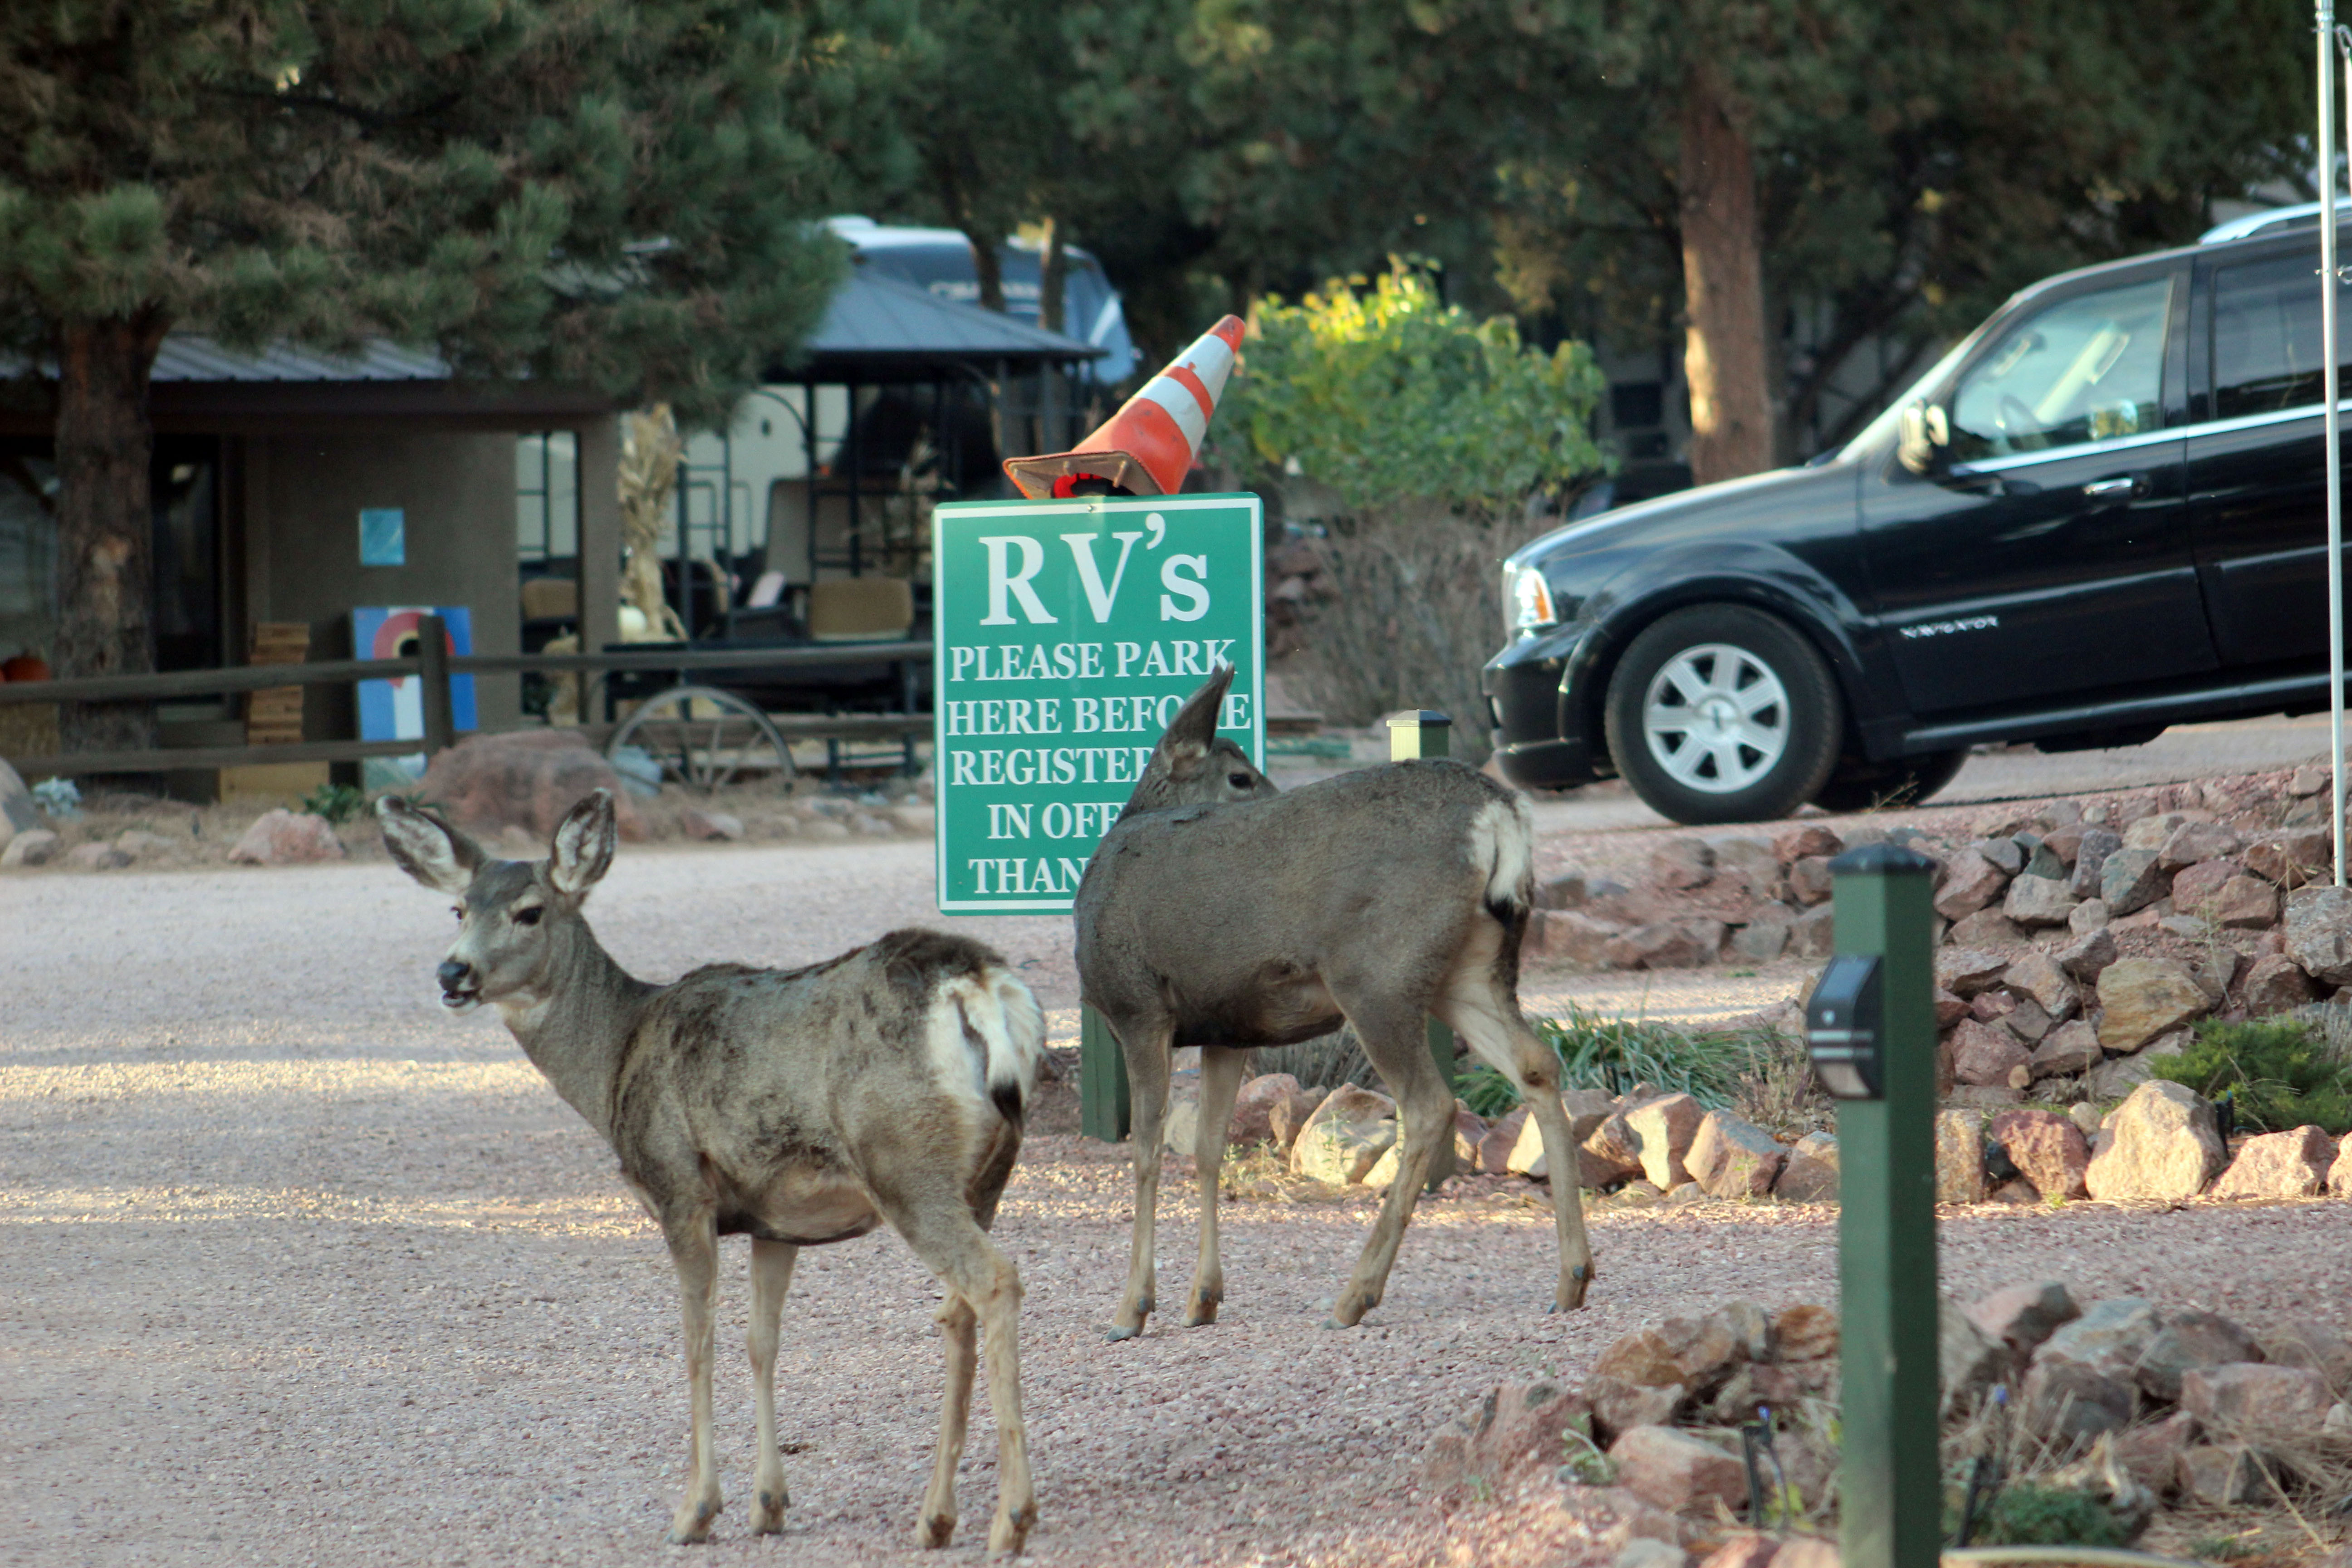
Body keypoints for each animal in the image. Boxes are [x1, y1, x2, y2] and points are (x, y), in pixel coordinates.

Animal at [378, 789, 1043, 1555]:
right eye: (458, 909)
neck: (614, 1057)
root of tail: (981, 983)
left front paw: (696, 1509)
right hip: (987, 1171)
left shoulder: (679, 1190)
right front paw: (768, 1504)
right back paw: (935, 1517)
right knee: (957, 1309)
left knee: (993, 1280)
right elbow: (762, 1344)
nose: (452, 974)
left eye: (530, 911)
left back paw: (1012, 1517)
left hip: (903, 1159)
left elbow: (698, 1344)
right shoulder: (776, 1220)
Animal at [1073, 667, 1595, 1340]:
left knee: (1429, 1104)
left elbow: (1146, 1152)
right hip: (1472, 968)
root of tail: (1500, 812)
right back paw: (1572, 1279)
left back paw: (1355, 1296)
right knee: (1537, 1064)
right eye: (1240, 776)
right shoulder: (1224, 1029)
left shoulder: (1139, 1008)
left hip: (1375, 975)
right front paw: (1203, 1299)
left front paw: (1132, 1307)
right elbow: (1210, 1150)